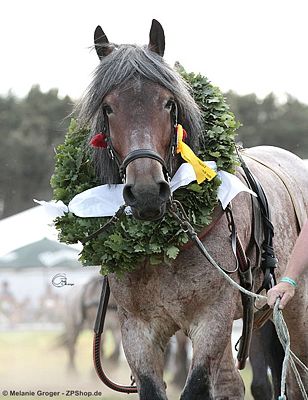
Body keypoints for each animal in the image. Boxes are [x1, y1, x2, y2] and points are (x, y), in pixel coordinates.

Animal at [77, 19, 308, 400]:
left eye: (168, 103)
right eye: (108, 107)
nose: (146, 192)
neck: (162, 248)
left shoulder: (211, 320)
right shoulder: (137, 329)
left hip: (292, 307)